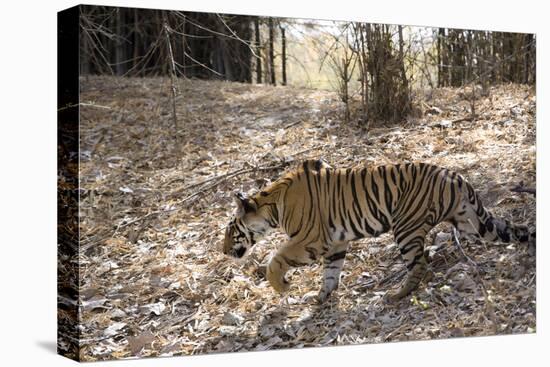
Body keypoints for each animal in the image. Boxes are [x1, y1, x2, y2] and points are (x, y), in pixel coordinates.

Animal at [222, 160, 536, 304]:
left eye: (230, 230)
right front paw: (321, 298)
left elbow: (276, 259)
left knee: (419, 264)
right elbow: (331, 272)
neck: (272, 207)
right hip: (471, 222)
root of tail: (455, 176)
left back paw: (396, 295)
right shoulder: (335, 243)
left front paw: (283, 286)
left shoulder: (311, 239)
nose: (223, 251)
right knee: (511, 230)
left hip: (406, 227)